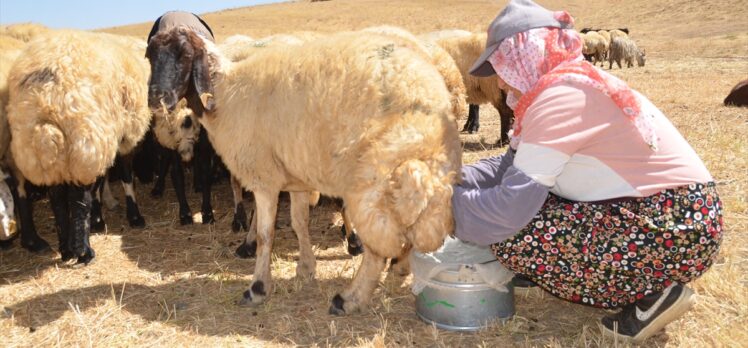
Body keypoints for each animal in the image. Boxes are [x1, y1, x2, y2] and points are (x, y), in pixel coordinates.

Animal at [7, 30, 153, 264]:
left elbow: (103, 181)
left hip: (49, 152)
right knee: (78, 200)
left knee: (58, 198)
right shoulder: (124, 135)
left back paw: (66, 250)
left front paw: (99, 218)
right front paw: (132, 217)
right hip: (84, 139)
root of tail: (45, 98)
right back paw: (83, 252)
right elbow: (125, 177)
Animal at [146, 27, 462, 314]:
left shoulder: (264, 179)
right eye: (150, 56)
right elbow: (300, 224)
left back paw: (349, 299)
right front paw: (306, 269)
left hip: (373, 181)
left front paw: (258, 288)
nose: (156, 98)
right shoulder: (296, 179)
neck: (225, 92)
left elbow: (266, 235)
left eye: (184, 54)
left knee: (376, 250)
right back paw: (397, 270)